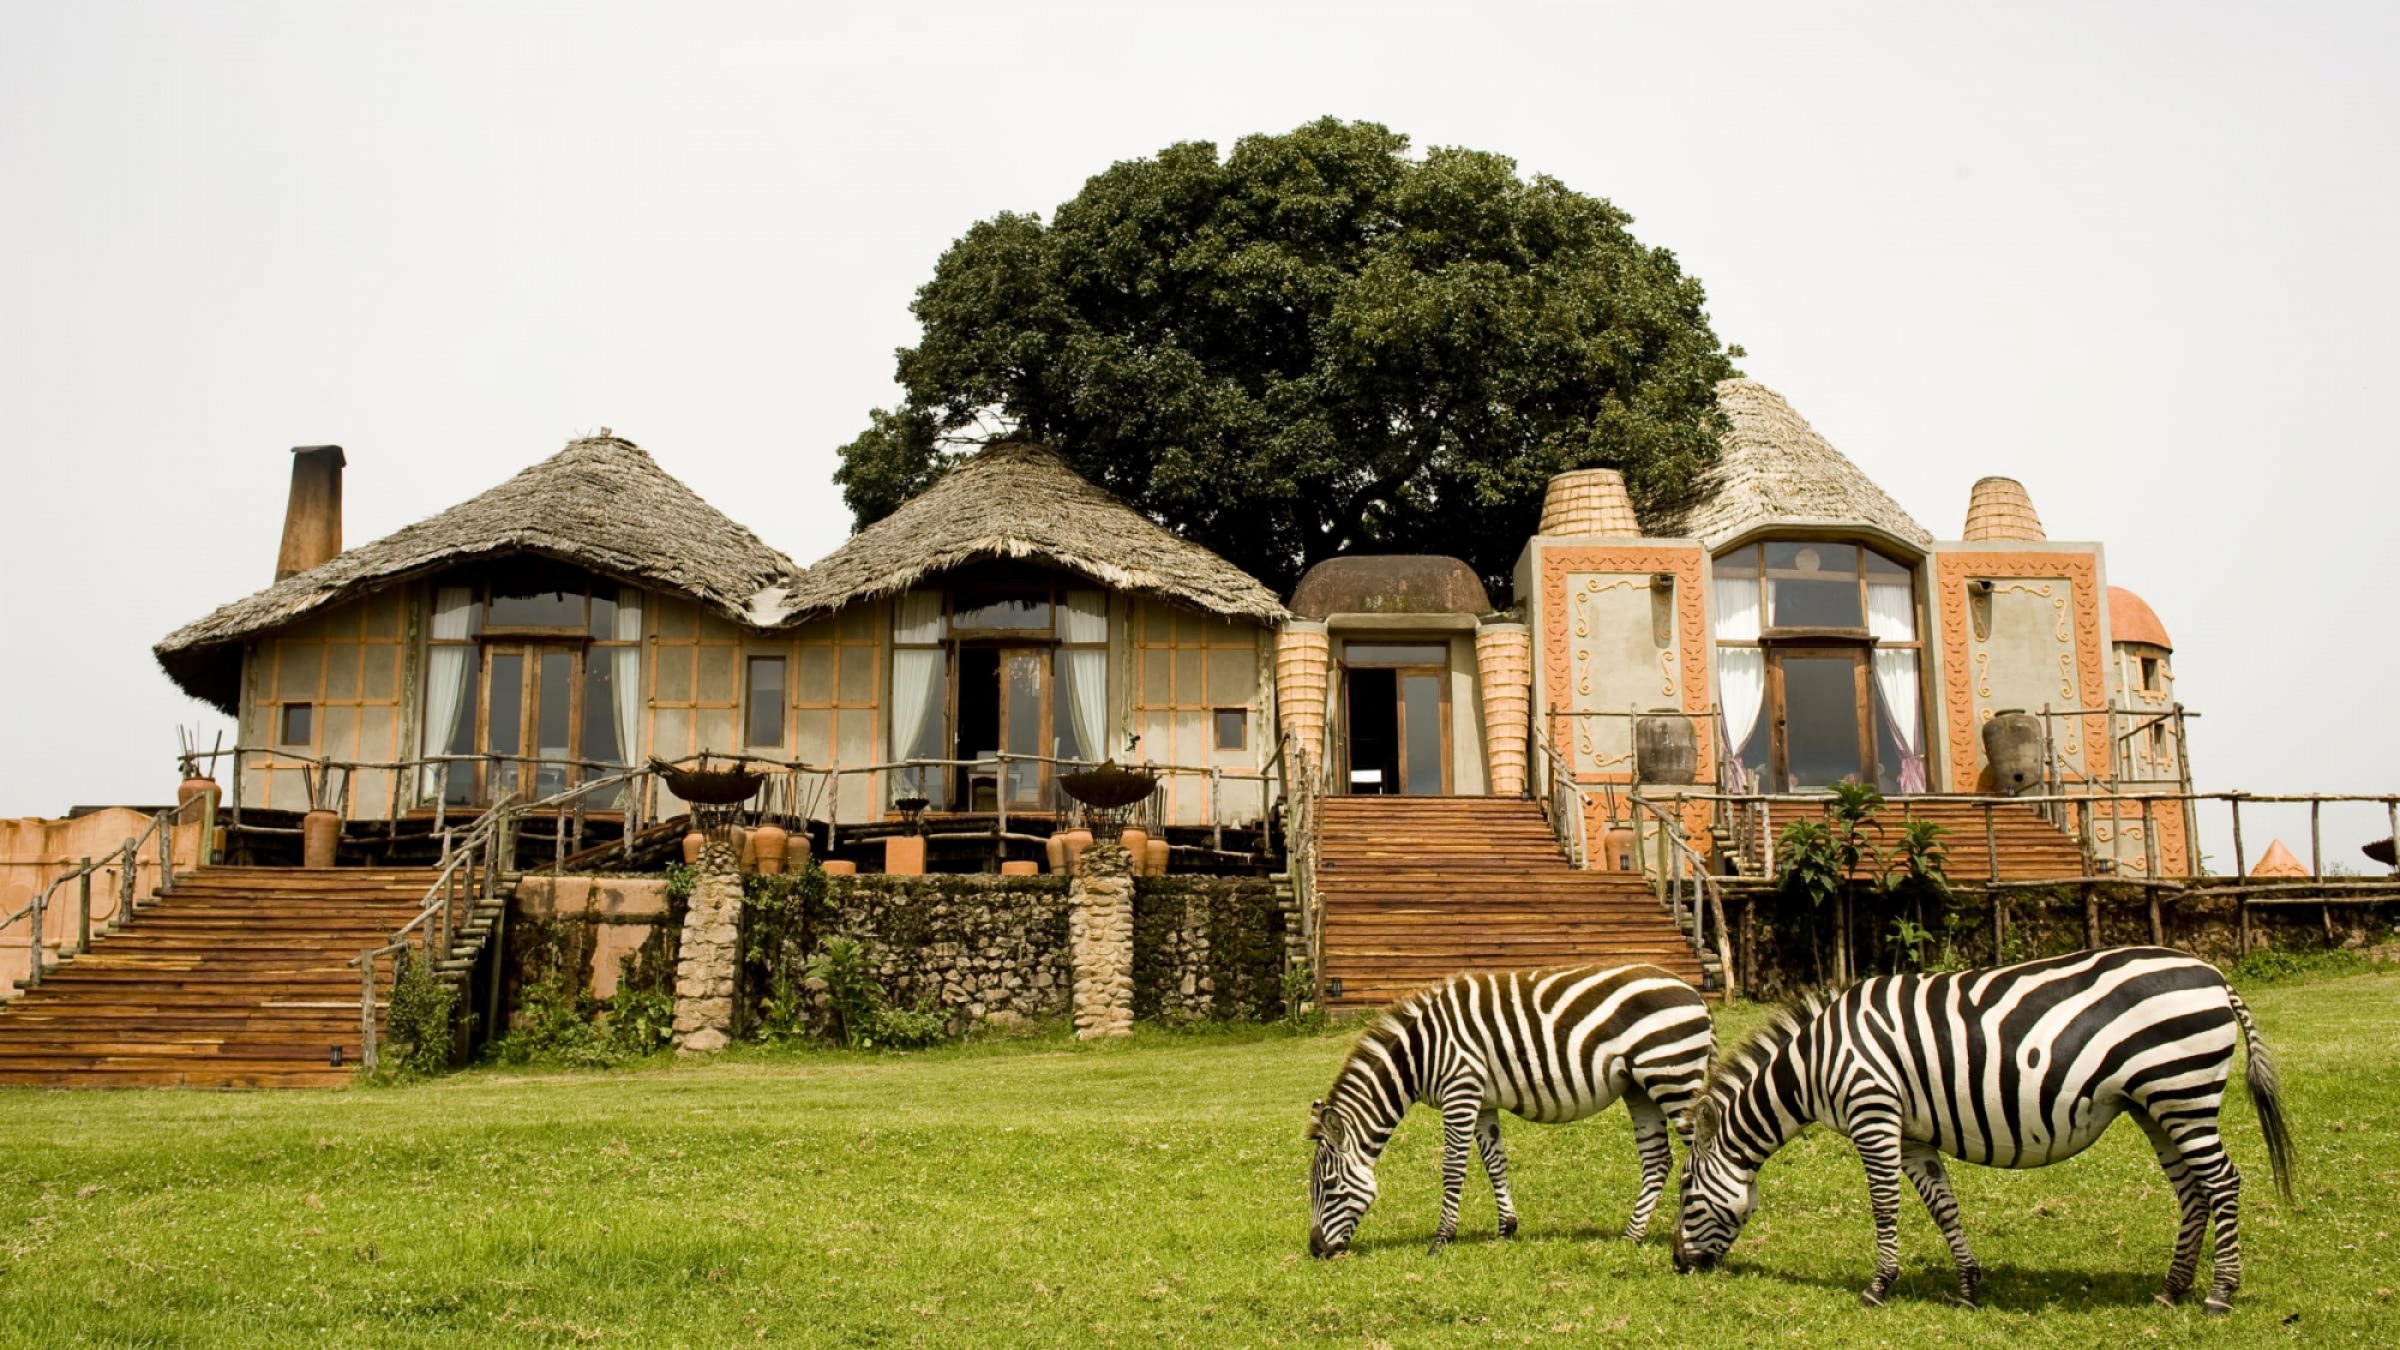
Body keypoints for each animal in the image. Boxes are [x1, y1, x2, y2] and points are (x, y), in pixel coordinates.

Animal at [1305, 956, 1718, 1249]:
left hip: (1672, 1076)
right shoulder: (1482, 1101)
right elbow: (1495, 1163)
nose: (1316, 1250)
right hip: (1640, 1088)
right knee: (1658, 1160)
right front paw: (1506, 1228)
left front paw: (1442, 1238)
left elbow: (1453, 1168)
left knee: (1702, 1152)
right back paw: (1632, 1235)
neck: (1418, 1053)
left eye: (1327, 1184)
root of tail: (1694, 992)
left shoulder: (1461, 1089)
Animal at [1670, 941, 2284, 1306]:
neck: (1814, 1063)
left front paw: (1878, 1286)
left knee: (2223, 1181)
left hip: (2182, 1091)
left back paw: (2221, 1293)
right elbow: (1943, 1205)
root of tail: (2212, 973)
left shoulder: (1874, 1113)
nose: (1678, 1265)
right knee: (2193, 1190)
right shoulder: (1912, 1134)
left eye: (1686, 1191)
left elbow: (1885, 1206)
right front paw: (1968, 1286)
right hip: (2157, 1104)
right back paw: (2172, 1289)